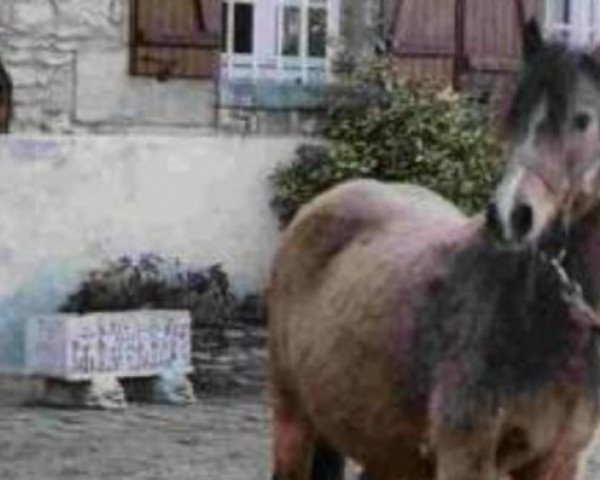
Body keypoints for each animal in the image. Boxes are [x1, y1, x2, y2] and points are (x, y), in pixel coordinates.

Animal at [268, 19, 600, 480]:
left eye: (583, 119)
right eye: (511, 118)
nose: (510, 215)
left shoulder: (560, 460)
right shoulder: (465, 455)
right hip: (294, 421)